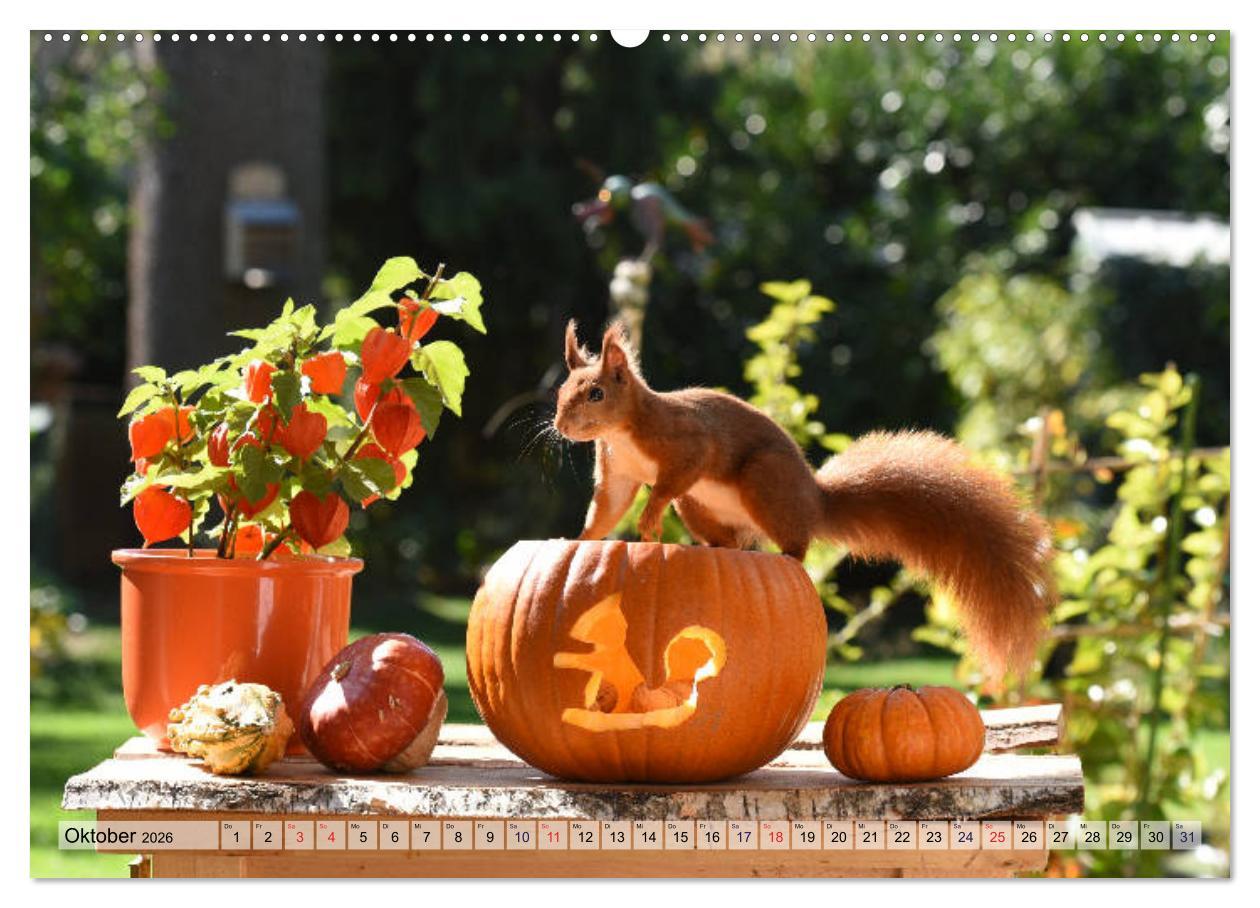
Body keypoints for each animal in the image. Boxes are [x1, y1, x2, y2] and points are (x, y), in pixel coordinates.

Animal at [553, 320, 1055, 677]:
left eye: (596, 393)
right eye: (561, 391)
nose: (560, 426)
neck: (622, 432)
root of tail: (814, 500)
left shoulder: (687, 445)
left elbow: (669, 482)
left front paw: (650, 517)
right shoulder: (617, 474)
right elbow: (607, 509)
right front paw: (580, 538)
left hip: (764, 482)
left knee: (796, 542)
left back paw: (786, 557)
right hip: (699, 507)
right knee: (731, 543)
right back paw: (715, 549)